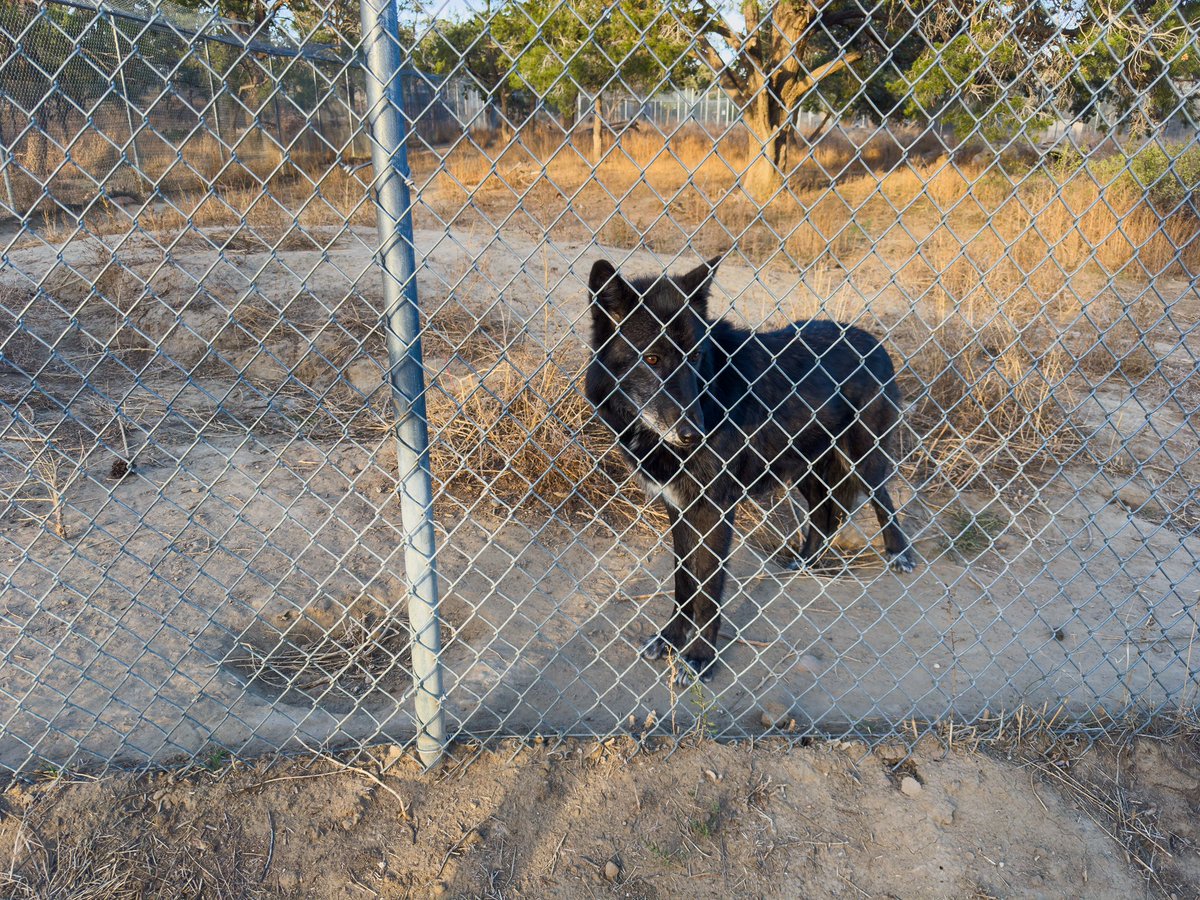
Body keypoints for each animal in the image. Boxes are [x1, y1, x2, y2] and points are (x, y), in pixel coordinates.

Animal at [585, 255, 915, 684]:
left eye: (695, 357)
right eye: (652, 359)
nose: (694, 433)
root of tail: (873, 341)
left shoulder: (716, 510)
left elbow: (708, 592)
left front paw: (699, 657)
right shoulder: (678, 509)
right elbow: (683, 583)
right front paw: (671, 638)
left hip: (862, 459)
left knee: (882, 497)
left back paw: (899, 554)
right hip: (803, 468)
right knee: (824, 512)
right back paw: (805, 562)